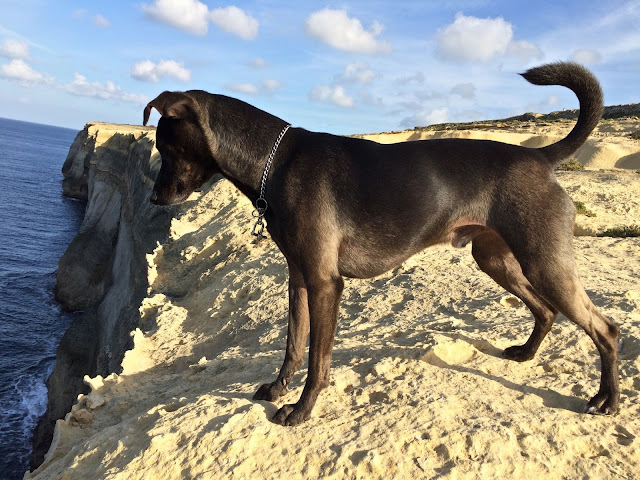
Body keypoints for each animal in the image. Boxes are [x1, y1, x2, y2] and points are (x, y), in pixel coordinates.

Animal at [143, 62, 620, 426]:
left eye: (165, 147)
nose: (153, 199)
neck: (274, 162)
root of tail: (538, 156)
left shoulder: (325, 283)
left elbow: (317, 360)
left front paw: (301, 410)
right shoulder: (298, 277)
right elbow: (293, 345)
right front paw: (279, 389)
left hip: (544, 261)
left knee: (605, 328)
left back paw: (607, 400)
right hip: (495, 258)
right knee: (547, 309)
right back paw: (526, 353)